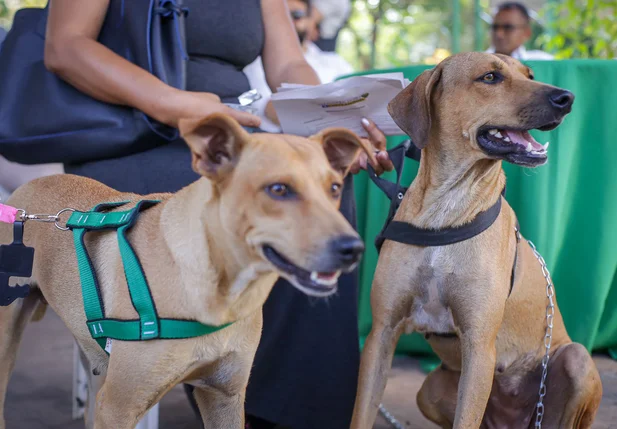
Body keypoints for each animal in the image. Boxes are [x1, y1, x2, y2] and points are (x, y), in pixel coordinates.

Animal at [0, 113, 376, 428]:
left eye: (334, 188)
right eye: (279, 189)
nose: (352, 249)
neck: (220, 293)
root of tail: (20, 201)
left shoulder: (224, 397)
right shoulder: (118, 407)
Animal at [352, 51, 600, 426]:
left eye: (529, 75)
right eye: (490, 77)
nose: (567, 98)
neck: (447, 208)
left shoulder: (479, 344)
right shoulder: (381, 332)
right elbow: (361, 412)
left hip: (577, 359)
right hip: (430, 389)